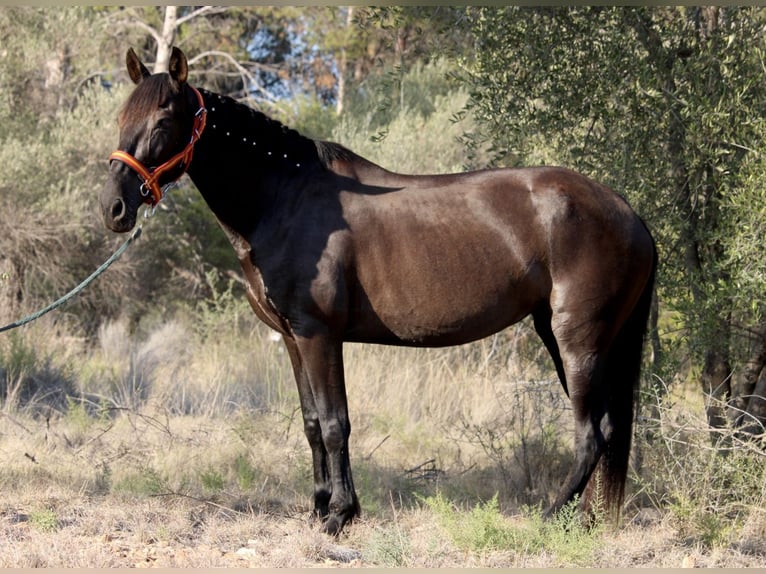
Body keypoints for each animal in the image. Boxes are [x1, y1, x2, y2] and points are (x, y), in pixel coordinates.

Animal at [99, 47, 656, 536]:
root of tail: (629, 214)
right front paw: (319, 508)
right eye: (120, 118)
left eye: (162, 123)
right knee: (606, 431)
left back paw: (551, 518)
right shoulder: (293, 338)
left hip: (578, 340)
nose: (114, 208)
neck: (285, 198)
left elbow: (334, 423)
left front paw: (339, 516)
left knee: (590, 434)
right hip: (569, 337)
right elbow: (310, 423)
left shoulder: (319, 334)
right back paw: (583, 521)